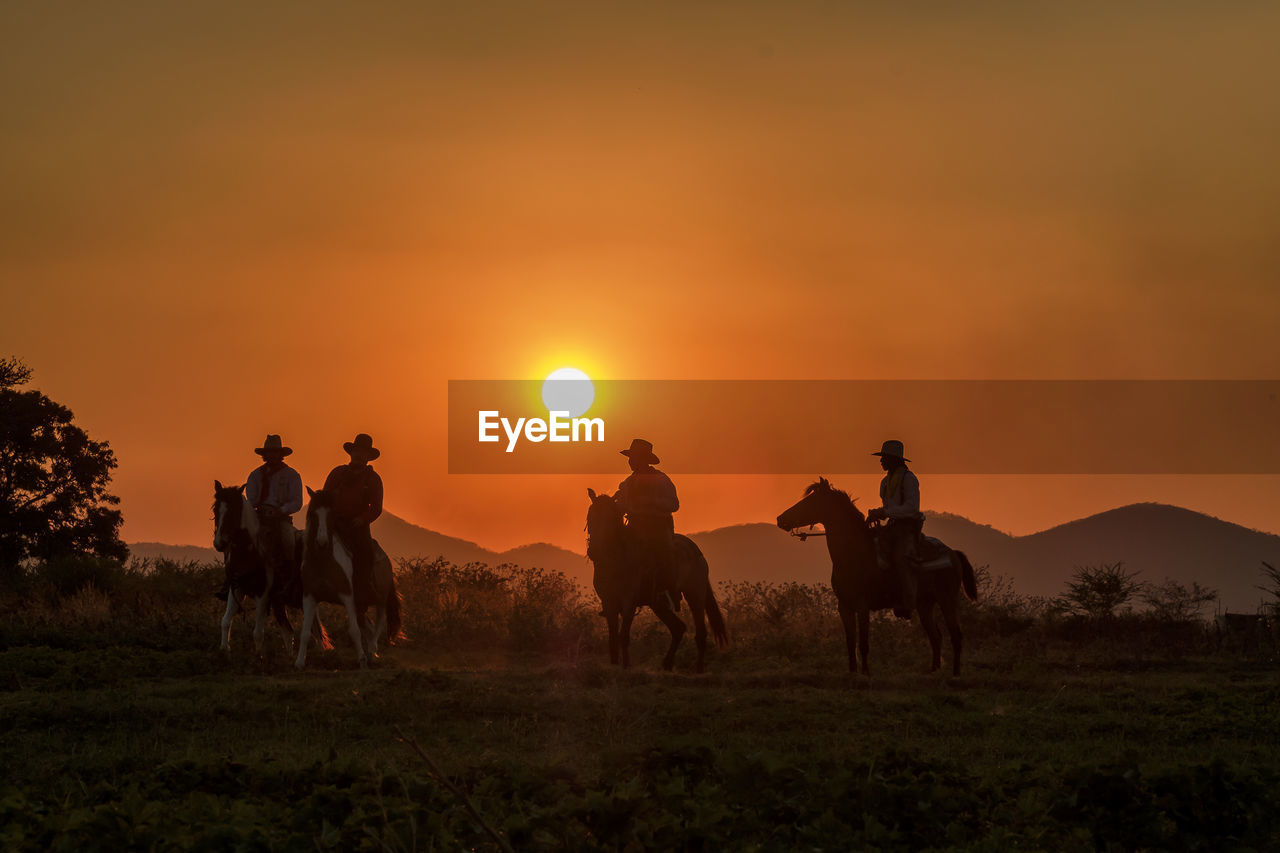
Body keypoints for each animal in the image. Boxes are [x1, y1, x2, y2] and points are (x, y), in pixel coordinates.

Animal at [211, 481, 327, 653]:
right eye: (215, 509)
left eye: (233, 511)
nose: (219, 543)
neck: (250, 552)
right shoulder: (236, 589)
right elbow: (225, 622)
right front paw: (224, 650)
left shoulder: (263, 594)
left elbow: (258, 632)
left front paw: (259, 656)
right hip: (280, 601)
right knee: (289, 631)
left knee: (314, 631)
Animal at [295, 489, 404, 666]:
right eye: (312, 514)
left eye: (331, 514)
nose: (322, 542)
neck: (323, 561)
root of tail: (385, 558)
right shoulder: (309, 596)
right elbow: (305, 632)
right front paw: (299, 663)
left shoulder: (347, 597)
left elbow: (354, 631)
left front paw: (361, 660)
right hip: (361, 606)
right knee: (369, 627)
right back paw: (372, 652)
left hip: (381, 600)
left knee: (379, 623)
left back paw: (371, 652)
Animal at [586, 484, 727, 671]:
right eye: (590, 517)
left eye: (610, 518)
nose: (593, 551)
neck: (617, 559)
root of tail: (697, 554)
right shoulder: (608, 602)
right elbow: (613, 638)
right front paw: (615, 665)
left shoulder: (629, 601)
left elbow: (624, 635)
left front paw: (626, 666)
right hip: (659, 604)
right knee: (678, 628)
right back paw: (667, 664)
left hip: (695, 596)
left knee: (700, 633)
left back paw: (698, 669)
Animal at [773, 473, 972, 676]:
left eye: (811, 501)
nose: (780, 519)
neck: (855, 553)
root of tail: (952, 553)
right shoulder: (844, 606)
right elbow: (850, 643)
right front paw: (853, 672)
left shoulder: (862, 605)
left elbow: (863, 643)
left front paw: (866, 673)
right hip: (925, 604)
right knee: (936, 637)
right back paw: (933, 671)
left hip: (947, 599)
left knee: (956, 635)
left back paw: (955, 674)